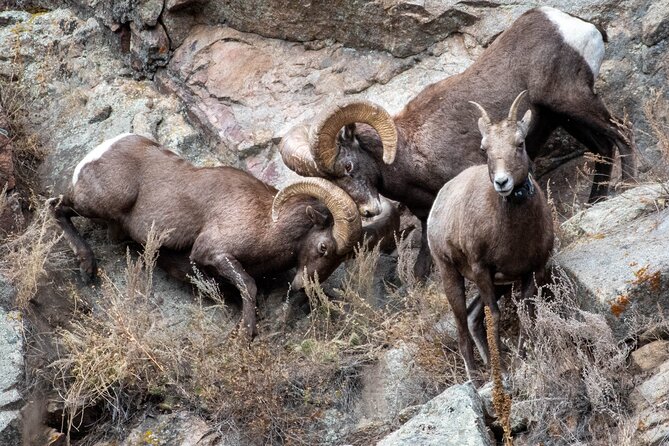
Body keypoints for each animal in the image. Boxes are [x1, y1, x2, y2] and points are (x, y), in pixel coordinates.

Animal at [49, 134, 362, 336]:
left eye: (340, 260)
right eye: (323, 247)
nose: (303, 287)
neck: (268, 223)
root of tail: (98, 153)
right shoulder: (212, 253)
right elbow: (248, 286)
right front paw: (245, 333)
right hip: (100, 203)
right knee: (55, 207)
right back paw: (87, 266)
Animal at [280, 6, 636, 278]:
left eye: (348, 165)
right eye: (333, 180)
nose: (368, 210)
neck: (411, 154)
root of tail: (577, 25)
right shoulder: (427, 216)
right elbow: (422, 268)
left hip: (572, 101)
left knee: (623, 133)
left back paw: (630, 187)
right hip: (564, 116)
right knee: (603, 148)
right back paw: (595, 203)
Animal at [428, 92, 552, 382]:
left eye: (520, 143)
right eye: (485, 149)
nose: (502, 182)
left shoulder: (531, 271)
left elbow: (526, 311)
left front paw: (524, 358)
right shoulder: (481, 269)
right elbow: (494, 315)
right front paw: (504, 372)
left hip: (499, 284)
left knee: (473, 317)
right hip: (451, 275)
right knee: (462, 325)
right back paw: (475, 379)